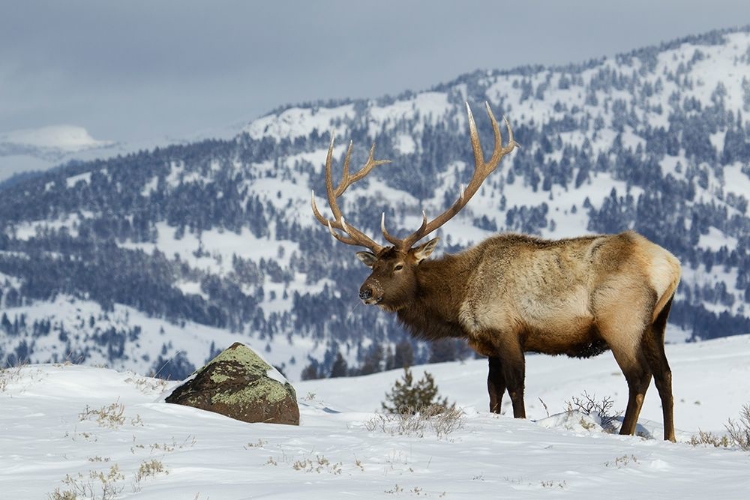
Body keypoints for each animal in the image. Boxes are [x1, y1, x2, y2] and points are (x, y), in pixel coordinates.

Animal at [310, 102, 680, 442]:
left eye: (399, 265)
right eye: (373, 264)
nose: (366, 291)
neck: (459, 300)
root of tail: (671, 266)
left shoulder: (507, 331)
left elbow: (516, 388)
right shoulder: (488, 345)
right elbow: (493, 393)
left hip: (620, 321)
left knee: (639, 376)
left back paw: (627, 434)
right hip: (655, 322)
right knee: (665, 374)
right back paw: (670, 438)